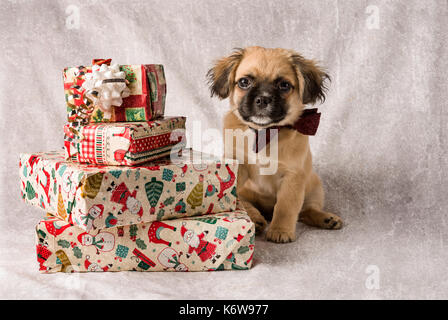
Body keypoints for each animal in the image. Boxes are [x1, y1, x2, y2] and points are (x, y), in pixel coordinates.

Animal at [207, 46, 344, 242]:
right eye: (244, 82)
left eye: (284, 85)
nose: (263, 99)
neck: (264, 133)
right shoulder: (238, 167)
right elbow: (236, 198)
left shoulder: (293, 177)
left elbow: (286, 207)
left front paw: (280, 230)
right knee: (247, 204)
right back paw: (256, 220)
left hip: (315, 187)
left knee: (306, 211)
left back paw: (325, 219)